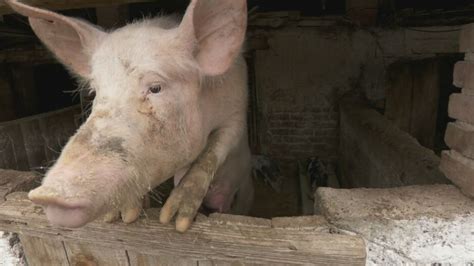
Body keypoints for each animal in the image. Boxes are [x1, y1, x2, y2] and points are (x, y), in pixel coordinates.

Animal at [5, 0, 254, 233]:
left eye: (155, 88)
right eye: (94, 92)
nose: (49, 194)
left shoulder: (237, 111)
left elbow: (211, 153)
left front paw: (175, 221)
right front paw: (121, 215)